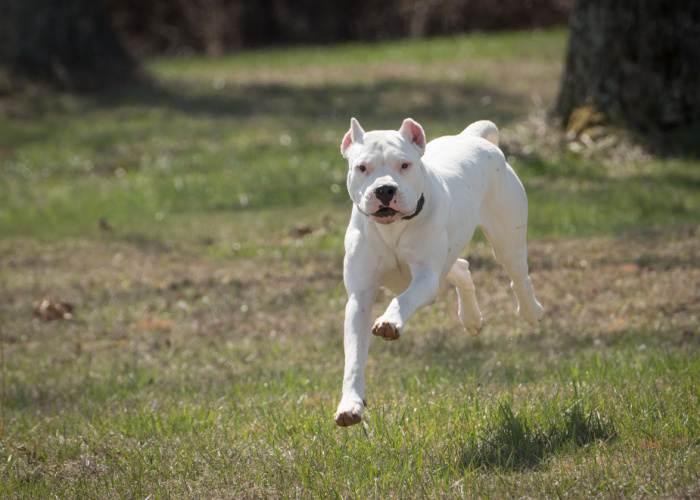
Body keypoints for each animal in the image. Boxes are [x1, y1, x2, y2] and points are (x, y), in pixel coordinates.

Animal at [332, 117, 540, 426]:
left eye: (404, 165)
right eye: (362, 167)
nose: (384, 190)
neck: (392, 228)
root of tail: (473, 137)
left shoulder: (426, 278)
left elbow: (402, 299)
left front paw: (390, 321)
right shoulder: (360, 297)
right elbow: (355, 357)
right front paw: (350, 405)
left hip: (506, 240)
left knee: (519, 277)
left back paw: (531, 313)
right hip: (450, 257)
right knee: (462, 269)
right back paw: (471, 319)